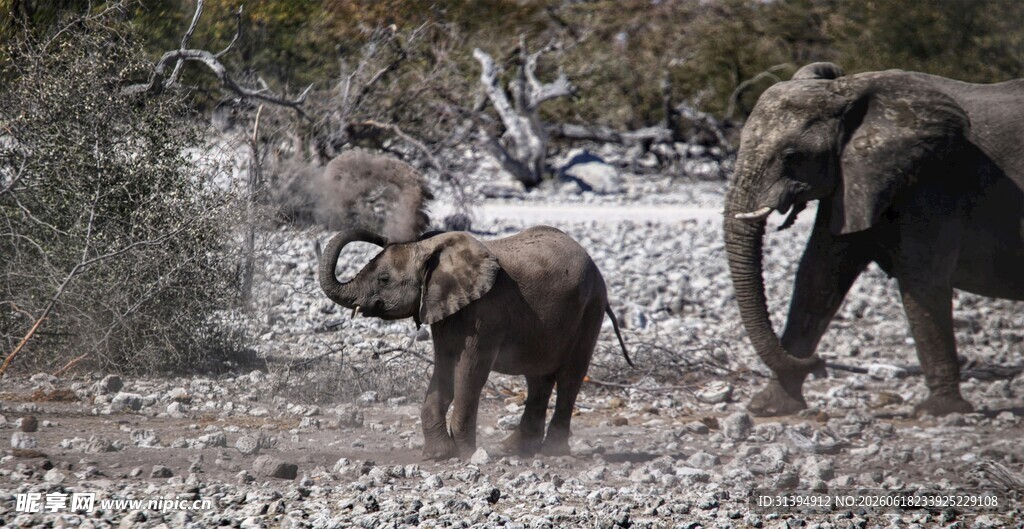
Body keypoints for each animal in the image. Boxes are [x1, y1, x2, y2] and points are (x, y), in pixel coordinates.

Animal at [318, 225, 632, 459]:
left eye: (384, 279)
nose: (383, 237)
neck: (432, 249)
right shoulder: (443, 310)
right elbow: (444, 369)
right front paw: (437, 455)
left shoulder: (486, 313)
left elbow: (469, 374)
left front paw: (467, 455)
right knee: (538, 379)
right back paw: (516, 449)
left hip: (590, 310)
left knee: (569, 377)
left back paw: (551, 452)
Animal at [724, 62, 1024, 417]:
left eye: (792, 156)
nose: (819, 364)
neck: (848, 91)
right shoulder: (853, 180)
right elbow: (818, 275)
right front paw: (770, 407)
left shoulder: (931, 182)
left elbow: (921, 280)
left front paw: (940, 411)